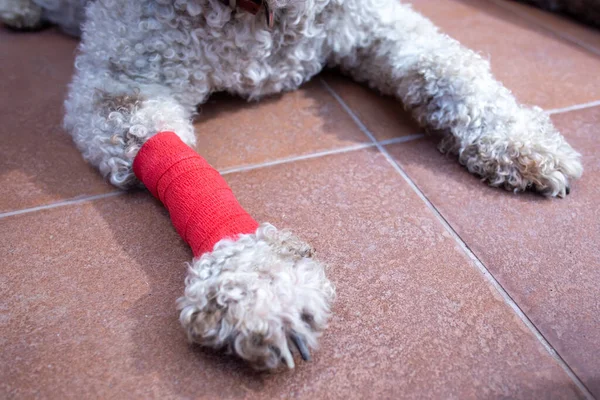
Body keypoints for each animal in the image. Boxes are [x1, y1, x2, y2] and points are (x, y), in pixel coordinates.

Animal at [0, 0, 580, 370]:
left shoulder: (379, 20)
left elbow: (448, 62)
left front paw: (515, 132)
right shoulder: (121, 84)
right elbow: (179, 162)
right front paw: (254, 275)